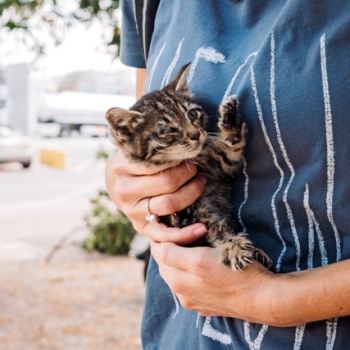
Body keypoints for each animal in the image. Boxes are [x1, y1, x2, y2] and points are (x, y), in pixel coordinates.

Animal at [106, 63, 270, 270]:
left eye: (192, 114)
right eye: (168, 130)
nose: (195, 134)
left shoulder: (219, 162)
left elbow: (231, 146)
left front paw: (230, 118)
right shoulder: (198, 207)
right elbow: (215, 225)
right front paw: (232, 246)